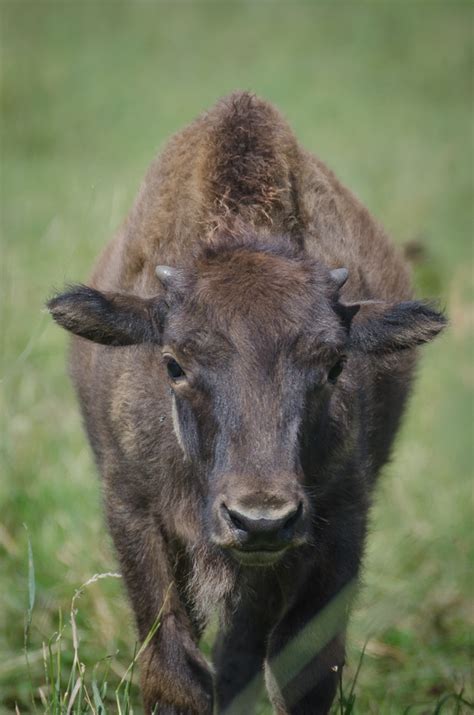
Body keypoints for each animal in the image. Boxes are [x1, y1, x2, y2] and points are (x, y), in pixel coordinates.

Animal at [48, 92, 444, 712]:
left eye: (334, 364)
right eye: (174, 363)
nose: (260, 519)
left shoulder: (340, 521)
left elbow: (301, 670)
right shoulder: (133, 509)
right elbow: (174, 669)